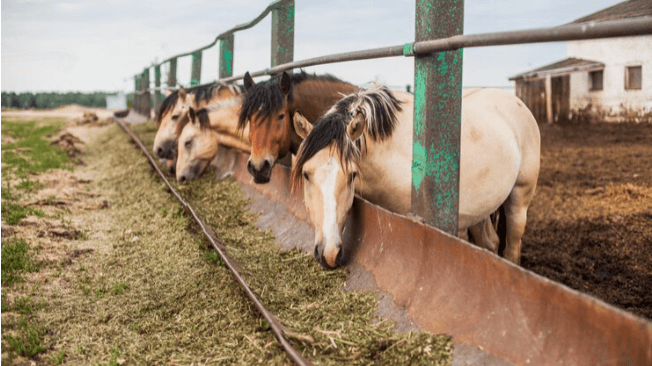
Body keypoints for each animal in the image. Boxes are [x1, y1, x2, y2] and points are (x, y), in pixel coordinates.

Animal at [290, 86, 540, 268]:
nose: (329, 254)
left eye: (352, 175)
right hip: (481, 209)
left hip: (519, 200)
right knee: (490, 243)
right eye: (306, 174)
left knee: (511, 249)